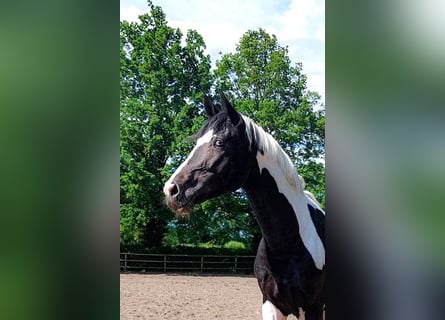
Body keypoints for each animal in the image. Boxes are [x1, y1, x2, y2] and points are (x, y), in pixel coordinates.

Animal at [162, 92, 322, 318]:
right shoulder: (271, 305)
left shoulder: (312, 308)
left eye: (219, 142)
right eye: (196, 141)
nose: (171, 190)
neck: (287, 247)